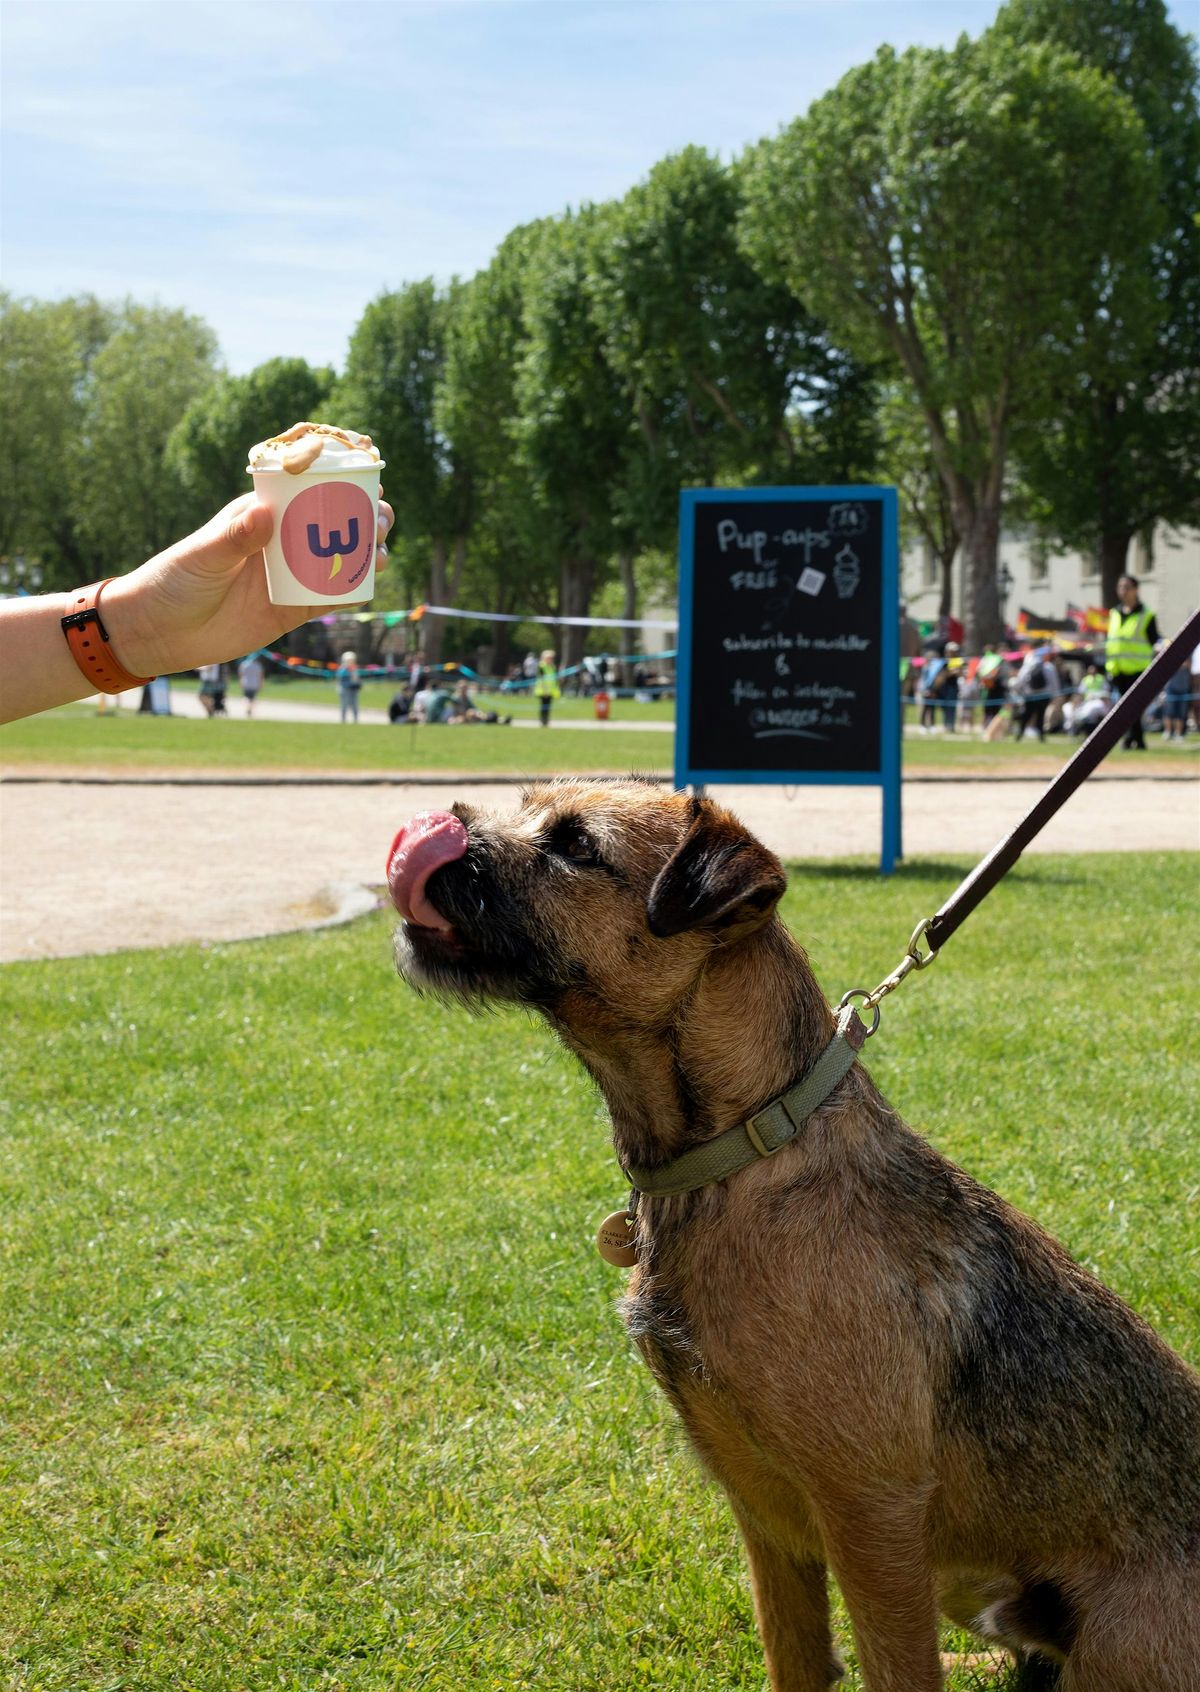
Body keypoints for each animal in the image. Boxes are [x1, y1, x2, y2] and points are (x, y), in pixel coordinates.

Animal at [389, 778, 1191, 1692]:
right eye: (526, 804)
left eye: (576, 846)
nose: (436, 831)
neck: (744, 1156)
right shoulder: (764, 1514)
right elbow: (796, 1657)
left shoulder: (872, 1518)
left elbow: (895, 1669)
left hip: (1115, 1638)